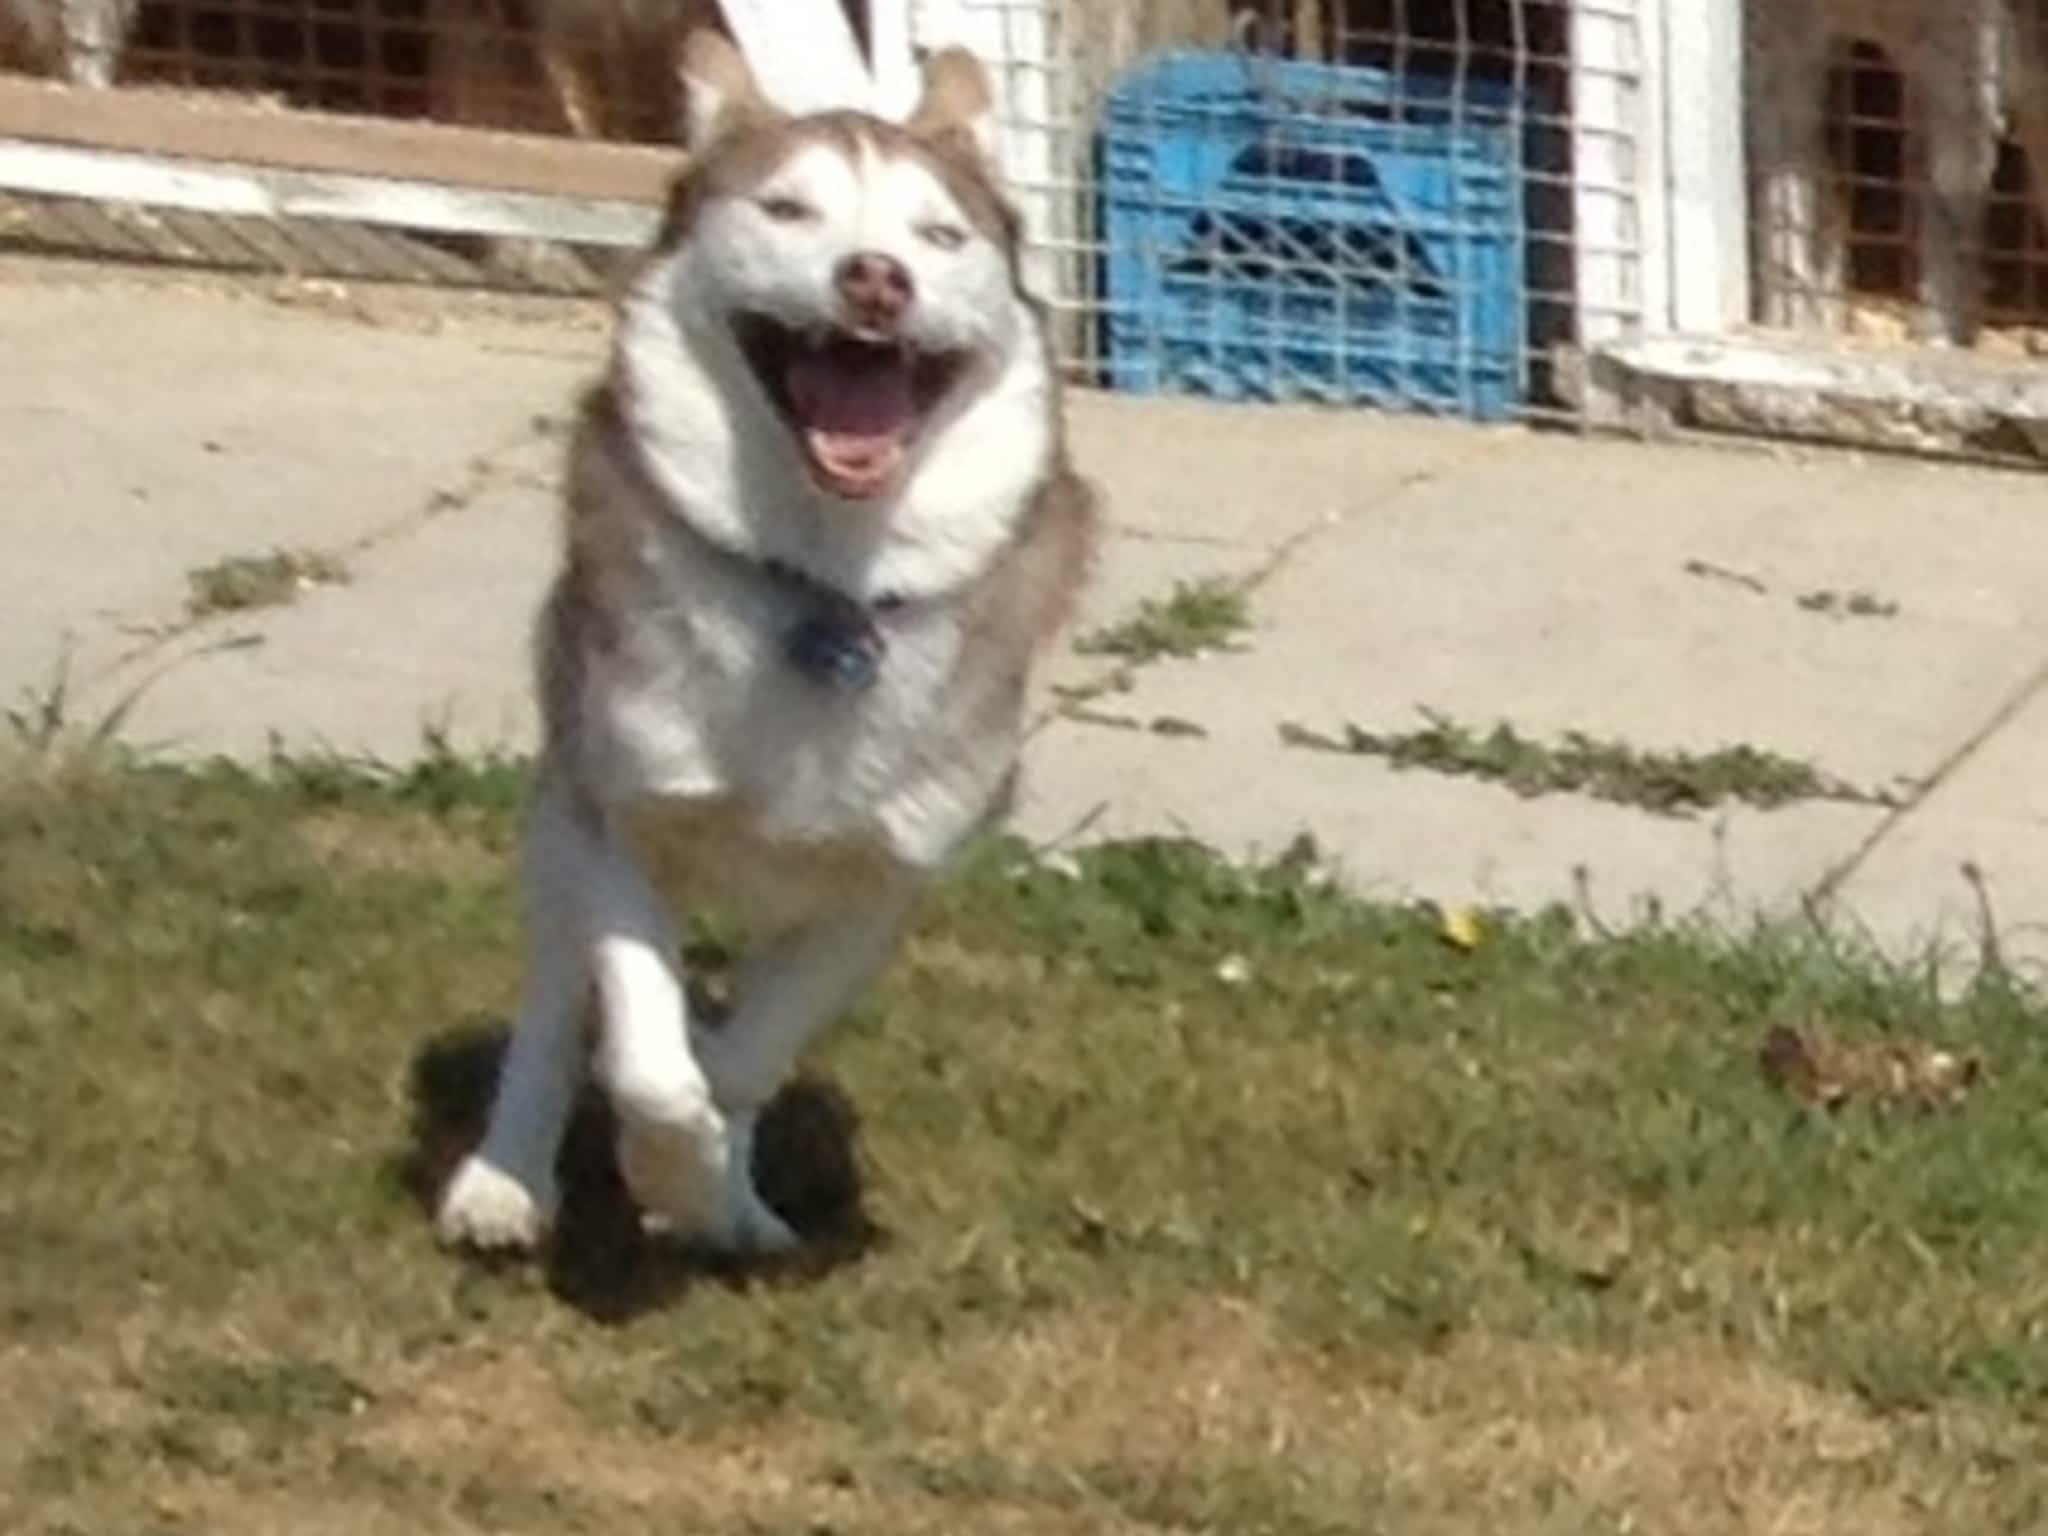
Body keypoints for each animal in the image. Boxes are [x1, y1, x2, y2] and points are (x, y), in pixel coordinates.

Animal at [438, 33, 1097, 1261]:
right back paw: (506, 1181)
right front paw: (662, 1153)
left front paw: (708, 1179)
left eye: (940, 236)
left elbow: (747, 1056)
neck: (824, 585)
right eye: (787, 210)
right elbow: (645, 1057)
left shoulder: (886, 880)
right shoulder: (618, 814)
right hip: (555, 804)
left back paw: (735, 1205)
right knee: (553, 1010)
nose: (875, 279)